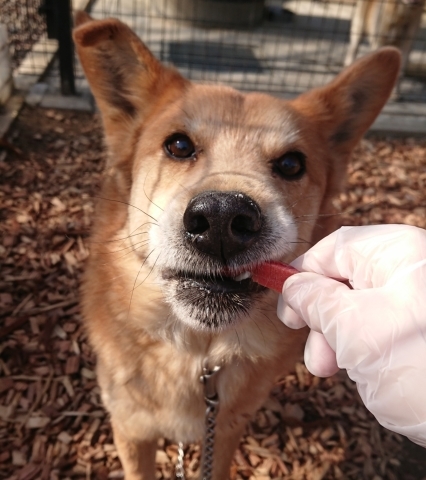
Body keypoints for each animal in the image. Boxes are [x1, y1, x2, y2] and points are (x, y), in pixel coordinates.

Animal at [72, 12, 400, 480]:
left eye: (291, 164)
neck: (199, 353)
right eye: (178, 145)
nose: (223, 219)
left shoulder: (225, 429)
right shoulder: (131, 431)